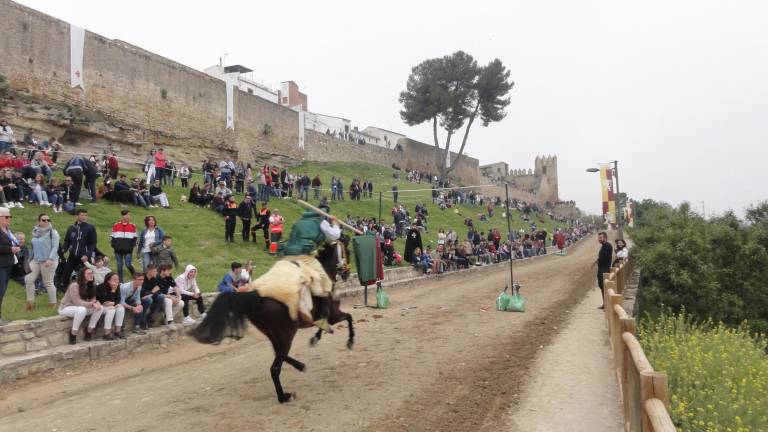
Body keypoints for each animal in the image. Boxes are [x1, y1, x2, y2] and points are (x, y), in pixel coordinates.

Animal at [195, 236, 356, 402]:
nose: (347, 273)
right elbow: (347, 317)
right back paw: (283, 396)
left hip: (275, 335)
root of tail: (255, 294)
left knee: (279, 354)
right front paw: (348, 341)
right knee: (275, 367)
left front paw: (319, 339)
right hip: (286, 334)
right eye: (349, 251)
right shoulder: (333, 315)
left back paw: (299, 366)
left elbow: (340, 320)